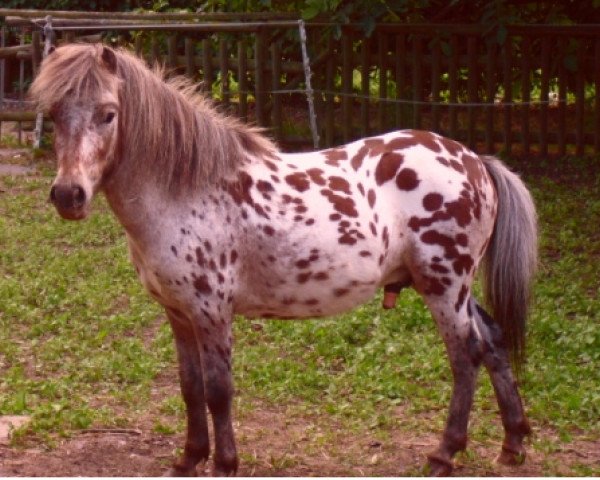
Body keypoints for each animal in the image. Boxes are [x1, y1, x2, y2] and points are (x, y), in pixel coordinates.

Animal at [31, 45, 540, 476]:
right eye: (53, 115)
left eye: (108, 114)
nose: (68, 195)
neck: (187, 190)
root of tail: (474, 160)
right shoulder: (178, 313)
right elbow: (190, 387)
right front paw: (189, 458)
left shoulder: (212, 312)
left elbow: (219, 391)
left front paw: (224, 464)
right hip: (454, 288)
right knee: (492, 343)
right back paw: (513, 443)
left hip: (444, 286)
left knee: (466, 355)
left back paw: (445, 453)